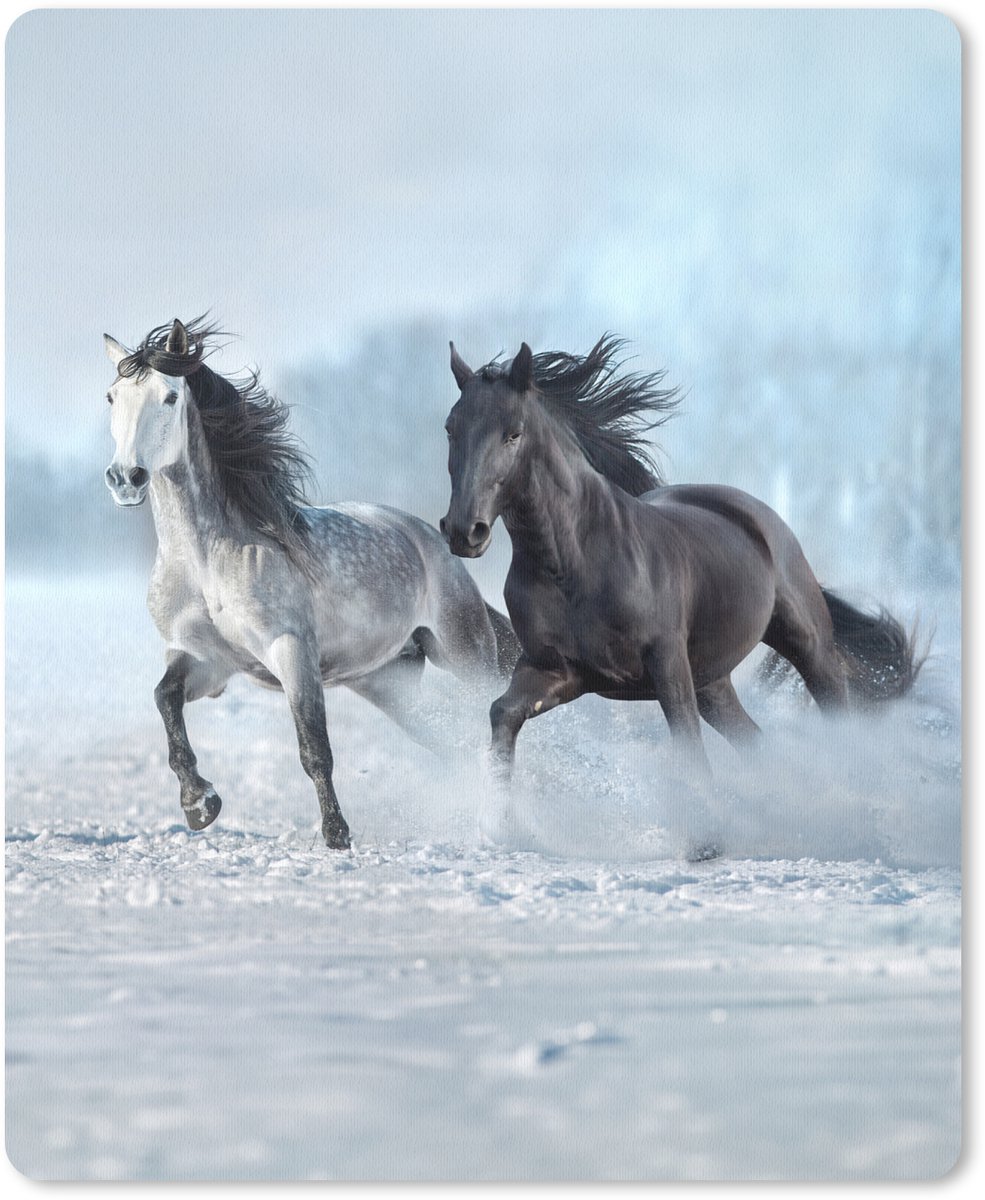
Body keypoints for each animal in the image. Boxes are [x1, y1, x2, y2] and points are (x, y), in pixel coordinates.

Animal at [104, 317, 518, 848]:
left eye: (170, 396)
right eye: (113, 396)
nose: (126, 478)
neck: (206, 562)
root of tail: (430, 536)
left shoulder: (292, 652)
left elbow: (314, 748)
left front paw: (337, 835)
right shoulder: (205, 660)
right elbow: (165, 701)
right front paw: (200, 804)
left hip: (465, 654)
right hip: (387, 683)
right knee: (452, 742)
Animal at [440, 335, 920, 799]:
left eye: (513, 434)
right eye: (450, 429)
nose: (464, 530)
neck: (573, 565)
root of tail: (755, 513)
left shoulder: (667, 664)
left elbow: (690, 755)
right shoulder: (557, 671)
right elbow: (502, 712)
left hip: (806, 645)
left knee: (837, 714)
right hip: (712, 682)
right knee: (755, 741)